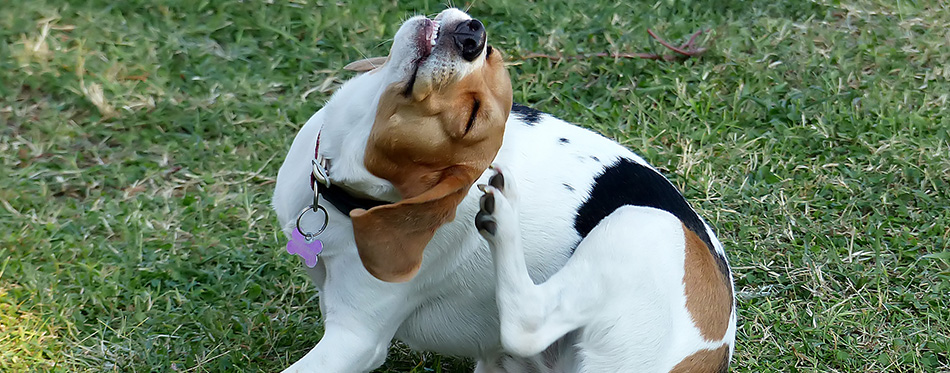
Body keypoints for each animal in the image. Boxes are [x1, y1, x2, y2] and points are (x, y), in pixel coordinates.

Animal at [272, 7, 740, 370]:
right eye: (490, 52)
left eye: (470, 119)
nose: (472, 35)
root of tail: (713, 354)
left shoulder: (355, 339)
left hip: (644, 224)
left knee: (527, 324)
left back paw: (503, 215)